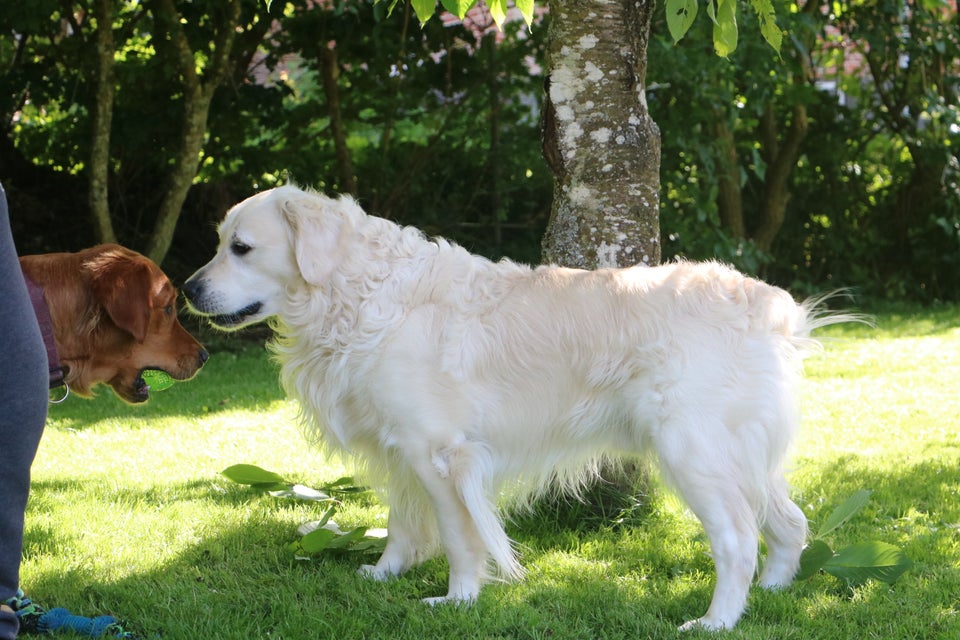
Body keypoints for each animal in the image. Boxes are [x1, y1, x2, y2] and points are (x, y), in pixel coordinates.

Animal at [184, 185, 844, 632]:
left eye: (242, 248)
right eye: (219, 244)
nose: (187, 289)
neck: (360, 295)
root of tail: (770, 305)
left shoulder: (441, 454)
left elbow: (459, 536)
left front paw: (457, 599)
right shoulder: (403, 448)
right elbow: (401, 523)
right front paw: (384, 572)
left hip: (691, 450)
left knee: (736, 539)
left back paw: (717, 620)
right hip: (742, 454)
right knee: (790, 522)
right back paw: (775, 591)